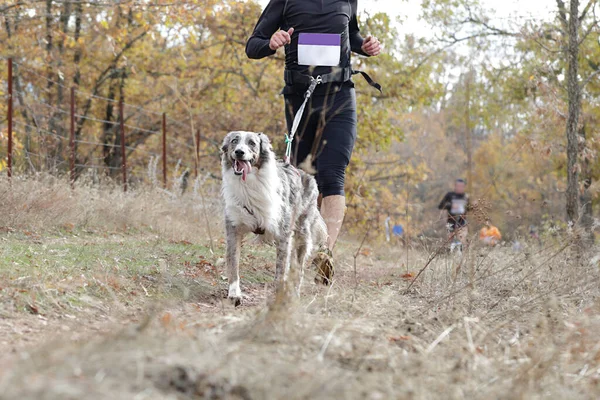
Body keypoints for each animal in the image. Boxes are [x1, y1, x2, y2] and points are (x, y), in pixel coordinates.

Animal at [220, 130, 326, 304]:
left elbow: (281, 271)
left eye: (252, 143)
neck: (249, 184)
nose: (239, 152)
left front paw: (278, 296)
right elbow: (233, 263)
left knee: (299, 269)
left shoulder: (284, 236)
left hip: (302, 236)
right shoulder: (233, 230)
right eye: (234, 141)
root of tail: (307, 176)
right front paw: (234, 293)